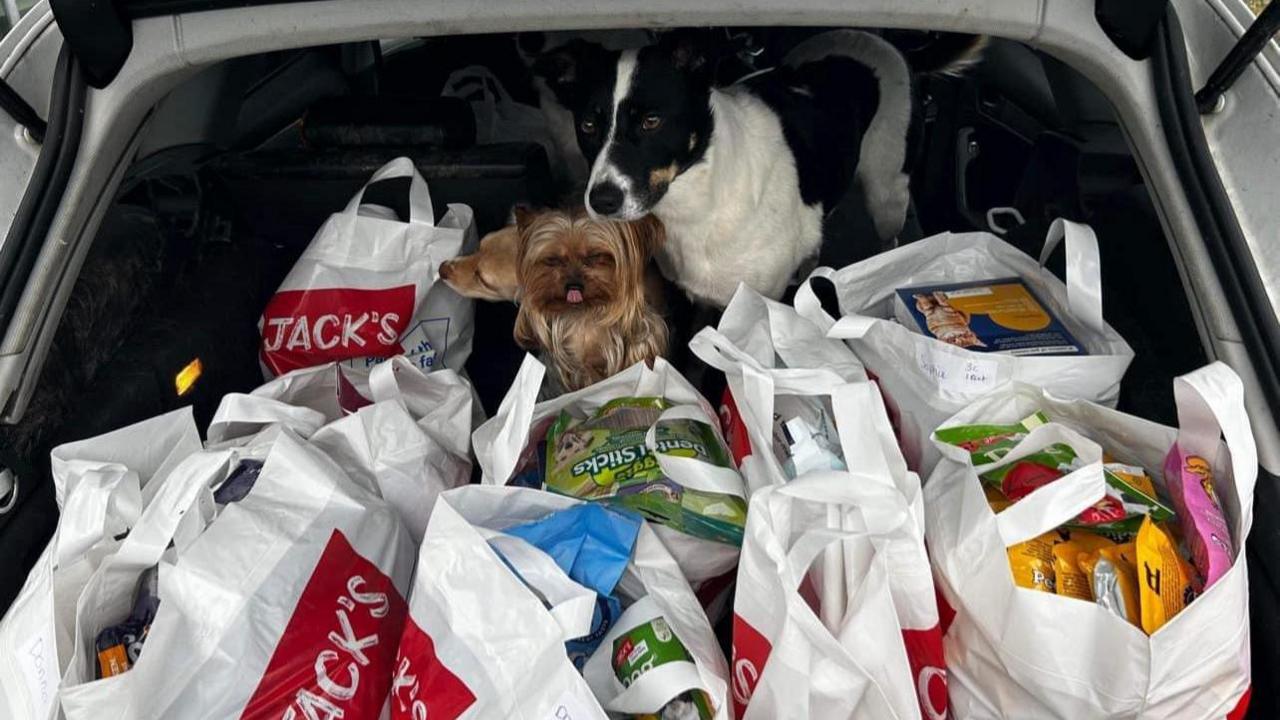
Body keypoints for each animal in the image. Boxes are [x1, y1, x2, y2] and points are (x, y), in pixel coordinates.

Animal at [535, 30, 983, 304]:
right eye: (588, 125)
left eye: (651, 121)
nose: (602, 201)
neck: (701, 200)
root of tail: (885, 42)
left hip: (887, 191)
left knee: (889, 233)